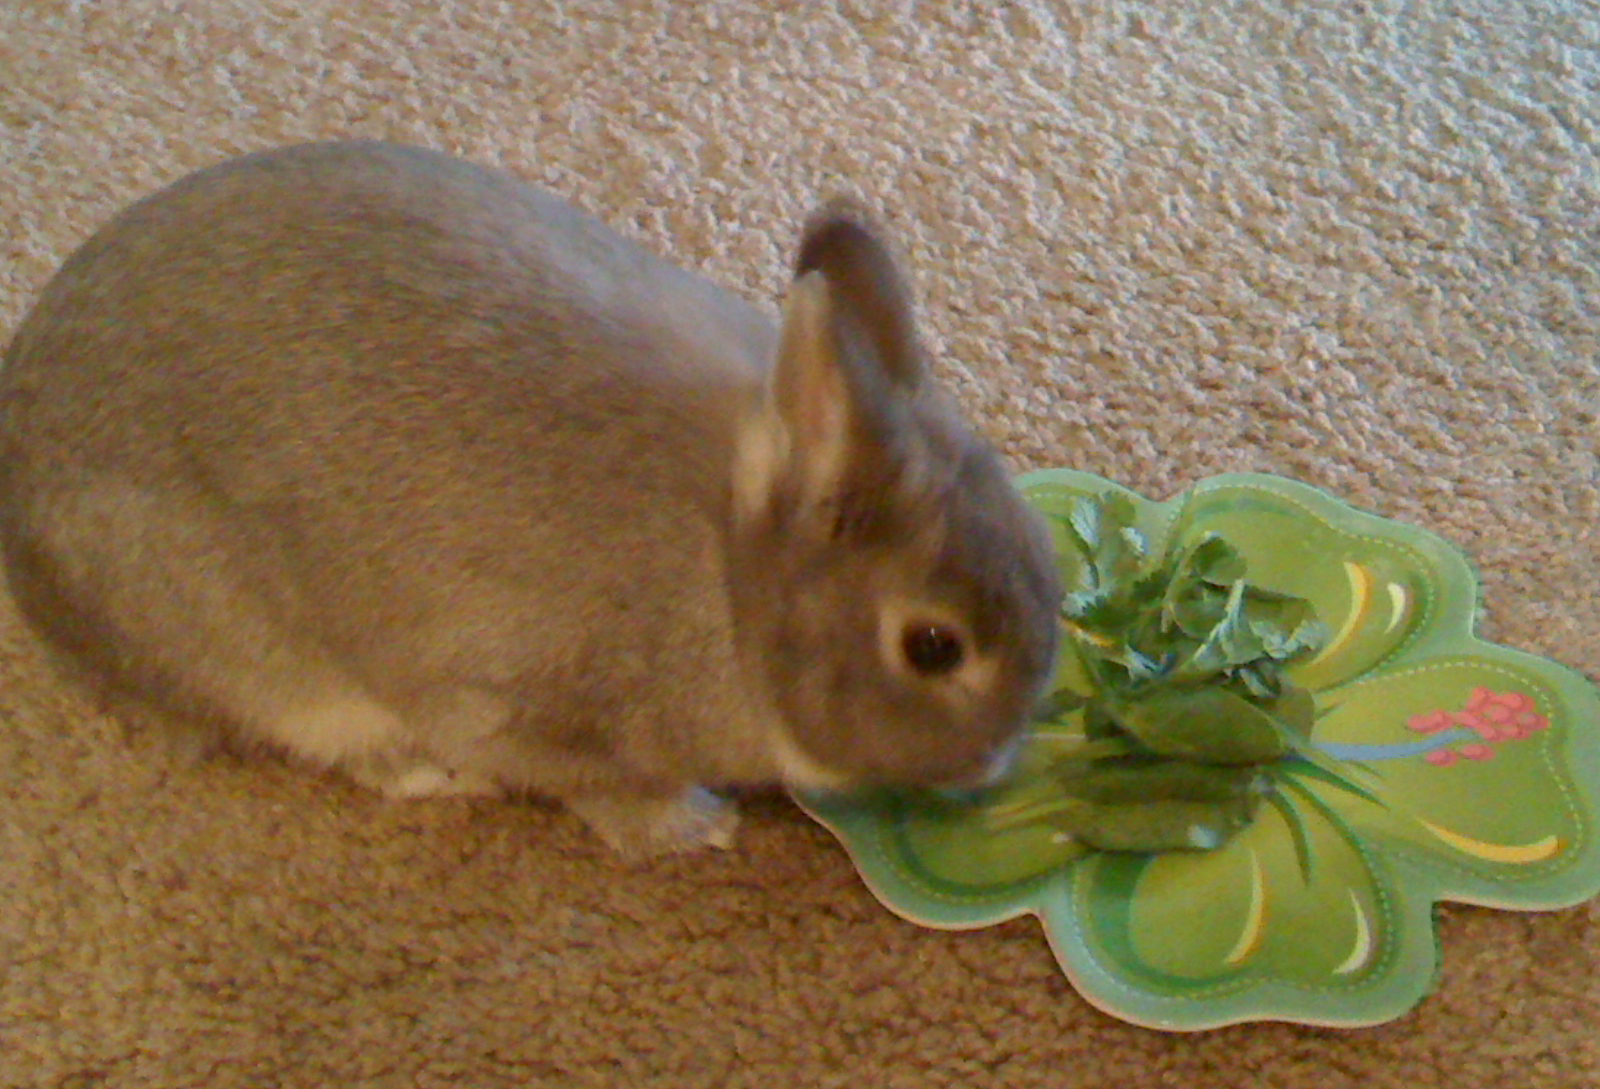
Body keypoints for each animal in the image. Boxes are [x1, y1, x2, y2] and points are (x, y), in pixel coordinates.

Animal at [0, 141, 1063, 856]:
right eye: (935, 646)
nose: (1002, 759)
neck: (731, 574)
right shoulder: (516, 705)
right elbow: (589, 782)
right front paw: (692, 825)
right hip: (253, 653)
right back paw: (431, 776)